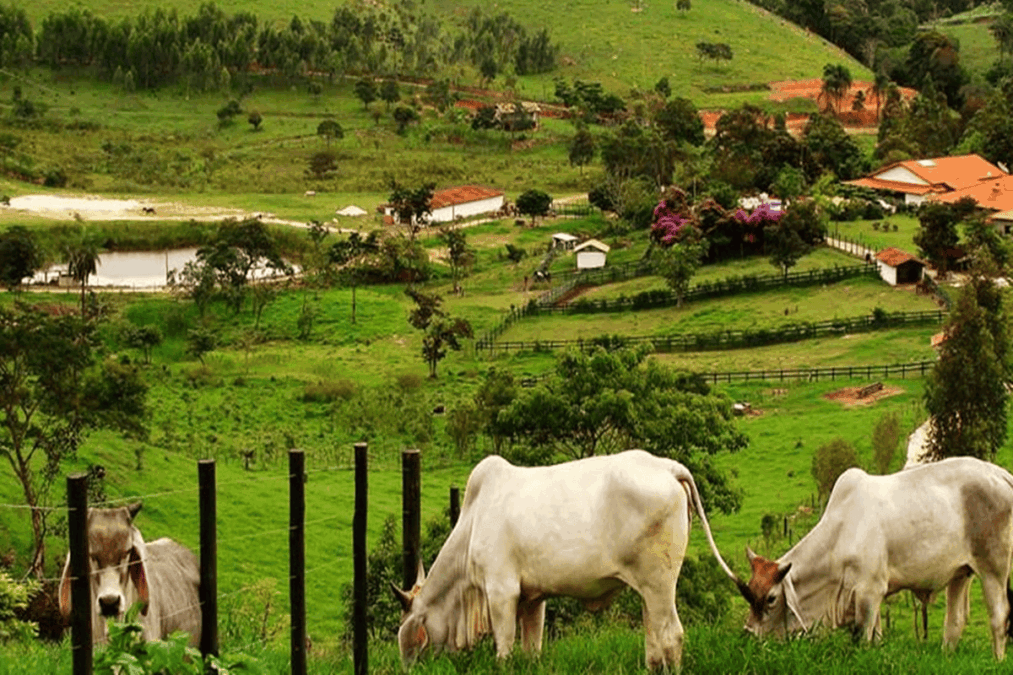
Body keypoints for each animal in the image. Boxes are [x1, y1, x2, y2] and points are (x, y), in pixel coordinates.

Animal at [390, 450, 742, 671]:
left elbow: (504, 648)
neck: (474, 519)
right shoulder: (533, 599)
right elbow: (532, 649)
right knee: (653, 637)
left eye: (406, 640)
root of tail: (667, 467)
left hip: (660, 584)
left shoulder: (501, 592)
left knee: (671, 635)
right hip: (649, 590)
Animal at [738, 457, 1013, 660]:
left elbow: (862, 638)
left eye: (771, 599)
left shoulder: (869, 592)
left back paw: (997, 660)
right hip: (960, 573)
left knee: (999, 617)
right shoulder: (872, 595)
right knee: (954, 621)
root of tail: (1002, 474)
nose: (747, 635)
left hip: (993, 568)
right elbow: (876, 638)